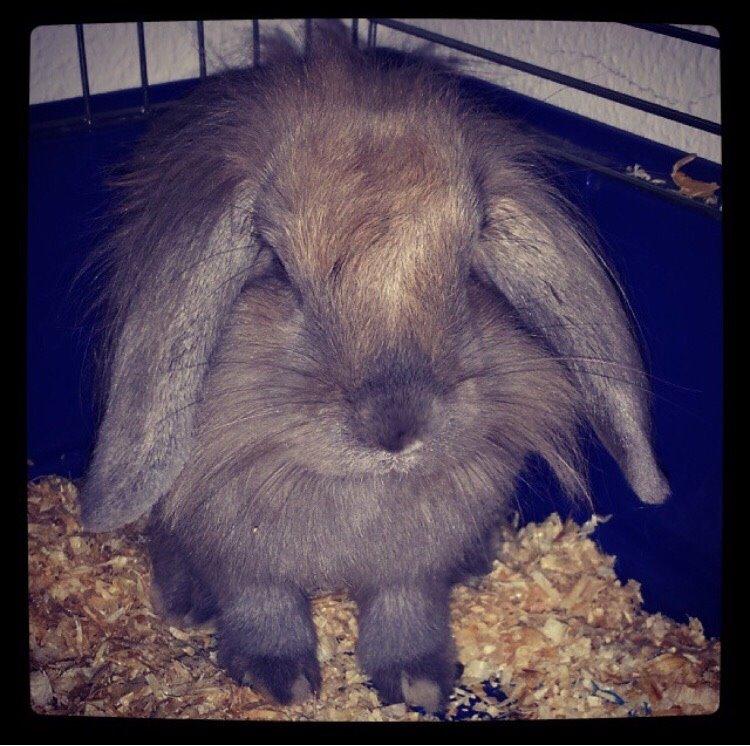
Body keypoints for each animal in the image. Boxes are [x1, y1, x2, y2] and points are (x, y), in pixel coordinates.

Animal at [79, 22, 669, 713]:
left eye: (468, 268)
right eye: (279, 269)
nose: (398, 427)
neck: (361, 492)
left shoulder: (412, 566)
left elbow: (404, 607)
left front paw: (418, 683)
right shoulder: (241, 551)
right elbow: (263, 602)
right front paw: (282, 679)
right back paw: (186, 603)